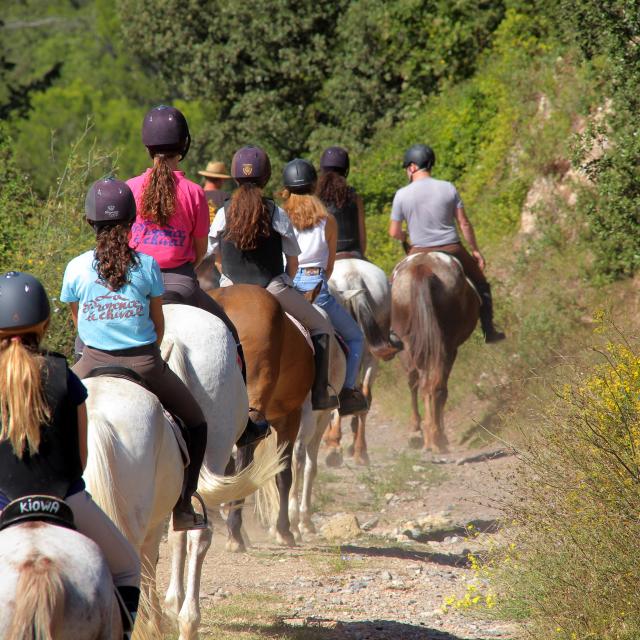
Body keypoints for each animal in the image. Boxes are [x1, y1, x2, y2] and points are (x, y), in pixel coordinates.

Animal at [391, 252, 480, 452]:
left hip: (411, 346)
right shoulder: (451, 348)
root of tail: (422, 268)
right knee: (433, 385)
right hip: (444, 346)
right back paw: (435, 436)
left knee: (420, 383)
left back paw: (426, 435)